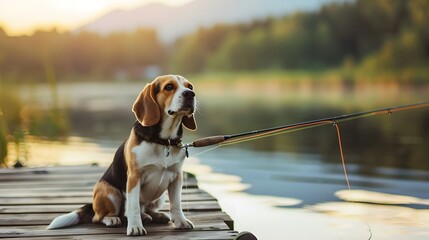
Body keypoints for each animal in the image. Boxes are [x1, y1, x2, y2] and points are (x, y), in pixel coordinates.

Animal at [46, 75, 196, 236]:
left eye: (190, 87)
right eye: (169, 87)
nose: (190, 94)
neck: (164, 141)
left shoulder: (176, 177)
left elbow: (176, 203)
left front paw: (181, 221)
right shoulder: (134, 177)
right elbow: (133, 206)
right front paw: (135, 226)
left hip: (159, 197)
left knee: (143, 208)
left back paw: (154, 215)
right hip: (110, 192)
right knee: (100, 217)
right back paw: (112, 219)